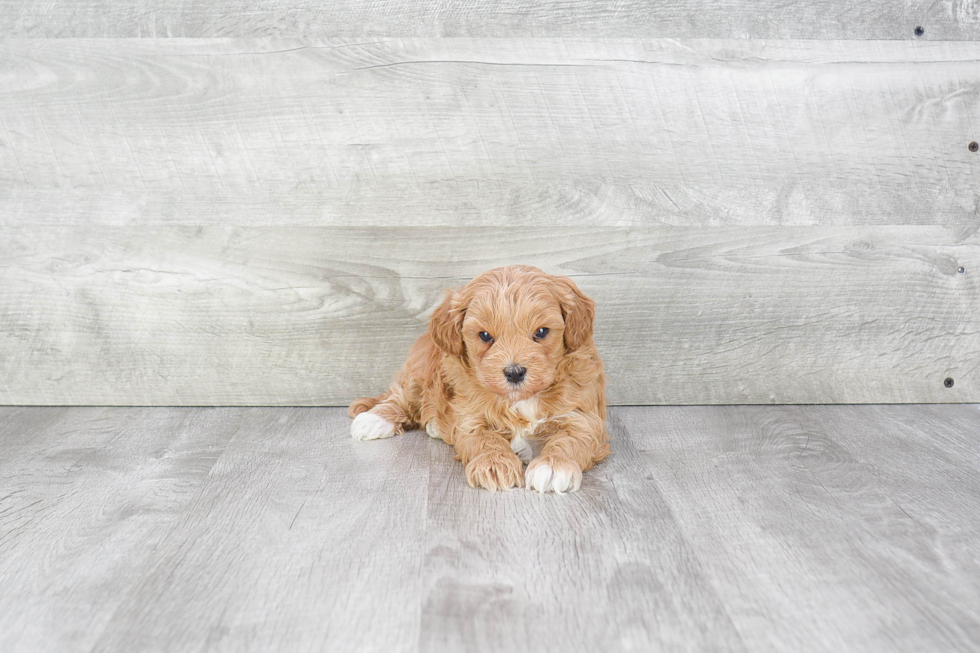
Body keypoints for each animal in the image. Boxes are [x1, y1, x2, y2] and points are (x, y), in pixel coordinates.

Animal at [348, 262, 608, 492]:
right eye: (484, 336)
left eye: (541, 332)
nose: (514, 372)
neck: (521, 400)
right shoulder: (470, 417)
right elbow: (483, 439)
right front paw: (494, 464)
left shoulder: (583, 415)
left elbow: (572, 438)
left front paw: (554, 466)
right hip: (419, 372)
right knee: (402, 397)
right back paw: (374, 419)